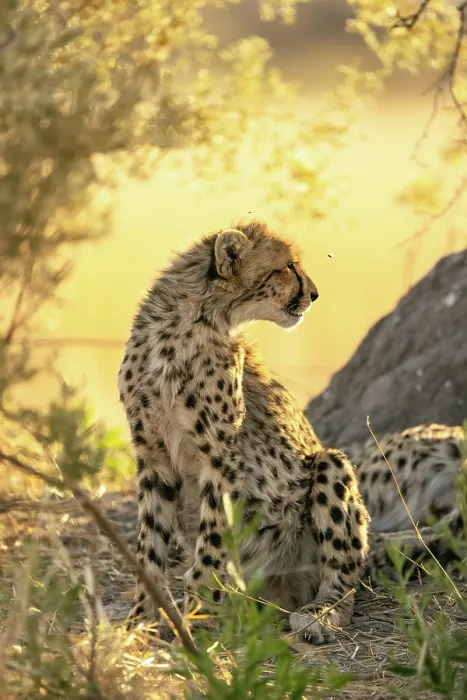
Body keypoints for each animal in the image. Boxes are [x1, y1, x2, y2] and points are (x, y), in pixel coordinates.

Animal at [118, 219, 371, 644]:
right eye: (288, 267)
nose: (315, 294)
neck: (187, 325)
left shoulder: (221, 461)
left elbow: (211, 545)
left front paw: (196, 621)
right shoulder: (152, 457)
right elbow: (148, 548)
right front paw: (138, 624)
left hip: (328, 465)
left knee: (346, 575)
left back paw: (321, 614)